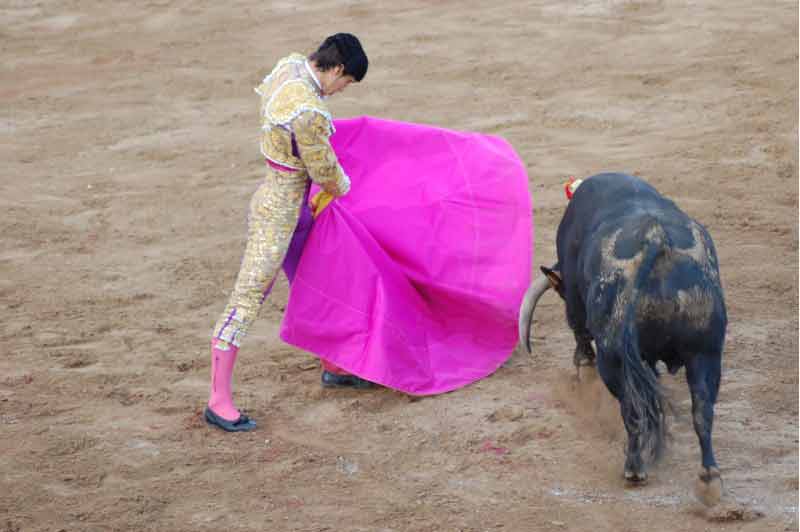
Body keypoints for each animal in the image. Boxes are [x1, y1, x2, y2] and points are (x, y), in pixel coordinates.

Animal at [520, 174, 728, 498]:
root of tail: (657, 239)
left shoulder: (575, 300)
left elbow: (579, 332)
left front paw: (583, 369)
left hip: (615, 358)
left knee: (632, 411)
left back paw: (634, 468)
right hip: (705, 352)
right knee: (702, 410)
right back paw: (709, 478)